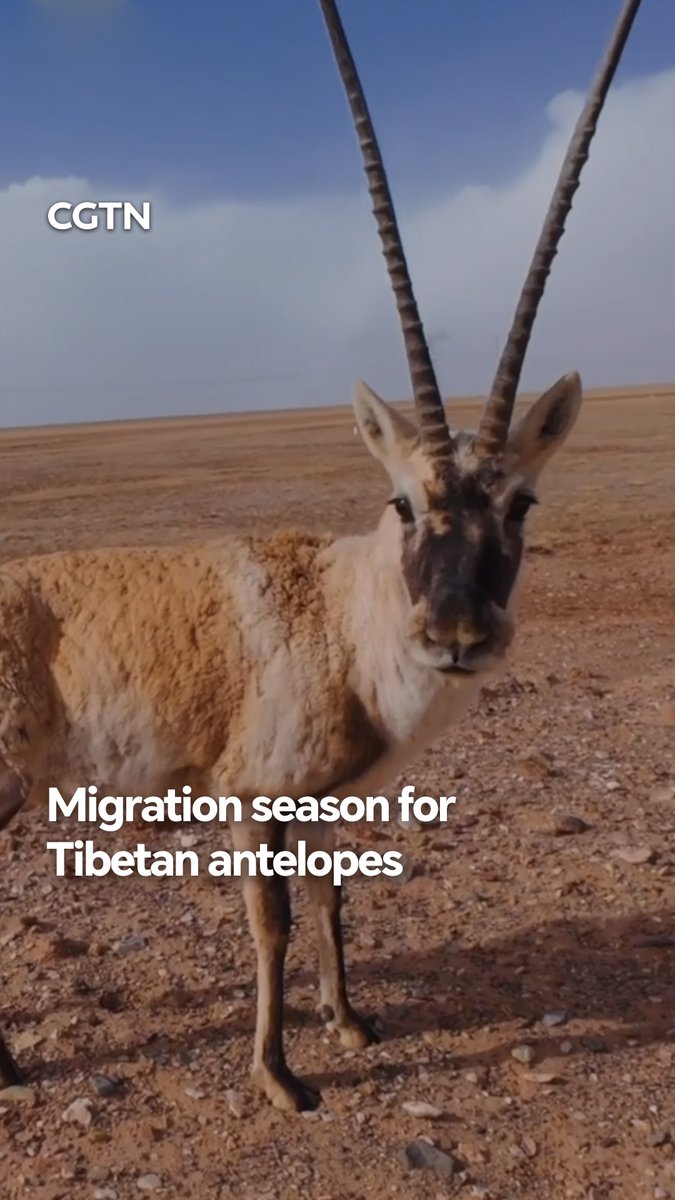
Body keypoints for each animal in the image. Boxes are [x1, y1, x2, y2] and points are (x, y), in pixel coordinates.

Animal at [0, 0, 642, 1112]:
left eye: (520, 504)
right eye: (402, 501)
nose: (457, 635)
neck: (342, 613)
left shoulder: (334, 800)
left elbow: (337, 898)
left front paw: (348, 1022)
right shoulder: (251, 801)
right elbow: (275, 923)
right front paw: (279, 1074)